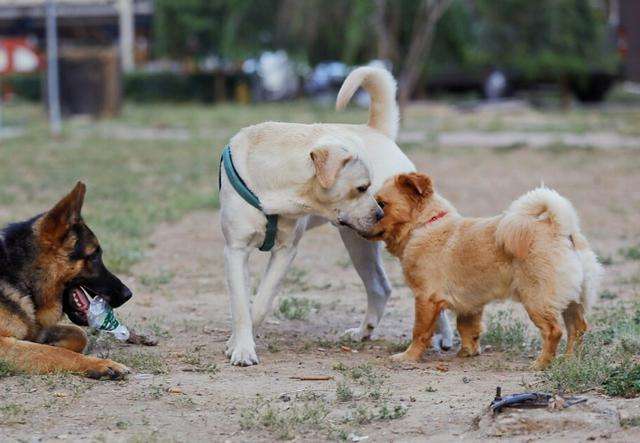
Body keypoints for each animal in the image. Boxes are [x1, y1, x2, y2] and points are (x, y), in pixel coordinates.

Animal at [0, 182, 131, 380]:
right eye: (94, 256)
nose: (128, 294)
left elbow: (78, 334)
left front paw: (53, 343)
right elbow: (56, 353)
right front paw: (100, 364)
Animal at [222, 65, 452, 364]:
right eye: (362, 188)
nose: (380, 212)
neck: (274, 185)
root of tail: (377, 131)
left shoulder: (286, 250)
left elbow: (260, 302)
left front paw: (240, 343)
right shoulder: (236, 250)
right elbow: (241, 305)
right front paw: (241, 347)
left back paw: (443, 337)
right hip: (357, 243)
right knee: (380, 287)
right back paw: (363, 332)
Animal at [368, 173, 604, 372]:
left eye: (382, 204)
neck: (425, 225)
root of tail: (561, 229)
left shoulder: (426, 299)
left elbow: (420, 332)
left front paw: (409, 357)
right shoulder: (470, 303)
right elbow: (467, 327)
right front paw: (468, 352)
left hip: (537, 300)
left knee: (554, 331)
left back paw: (541, 363)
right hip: (573, 300)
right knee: (577, 328)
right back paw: (570, 360)